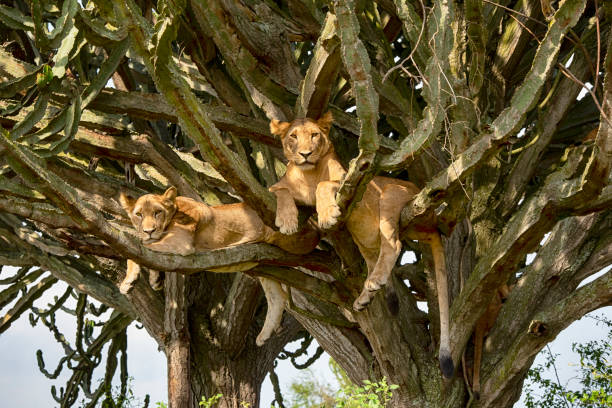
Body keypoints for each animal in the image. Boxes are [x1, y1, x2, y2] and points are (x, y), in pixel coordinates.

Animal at [118, 187, 320, 344]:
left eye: (157, 212)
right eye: (138, 215)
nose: (149, 230)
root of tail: (315, 224)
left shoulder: (180, 242)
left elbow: (138, 246)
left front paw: (128, 281)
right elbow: (144, 247)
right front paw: (154, 279)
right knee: (277, 297)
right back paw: (264, 335)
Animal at [268, 112, 454, 380]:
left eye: (314, 135)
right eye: (293, 136)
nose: (305, 154)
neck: (308, 174)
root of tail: (432, 224)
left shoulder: (347, 184)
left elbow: (325, 185)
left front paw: (327, 215)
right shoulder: (281, 188)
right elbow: (280, 190)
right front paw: (287, 221)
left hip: (390, 193)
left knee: (393, 244)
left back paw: (374, 282)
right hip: (365, 240)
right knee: (375, 259)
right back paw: (364, 297)